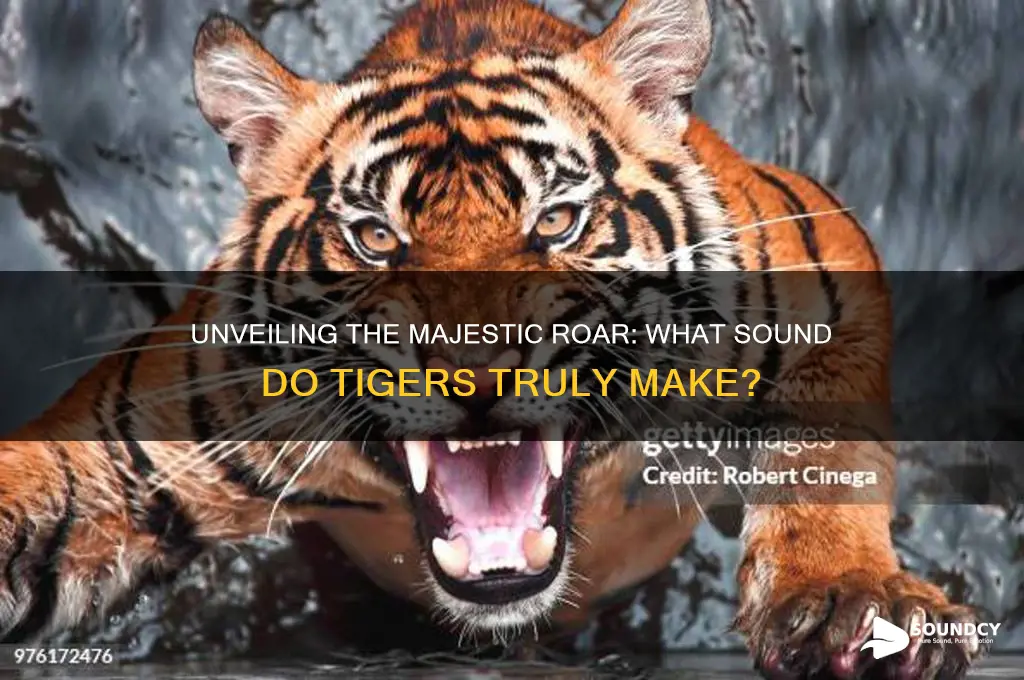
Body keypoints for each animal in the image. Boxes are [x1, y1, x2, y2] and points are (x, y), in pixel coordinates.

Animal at [0, 0, 984, 677]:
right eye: (376, 237)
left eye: (555, 221)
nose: (475, 370)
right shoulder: (136, 440)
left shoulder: (824, 264)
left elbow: (827, 459)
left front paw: (851, 602)